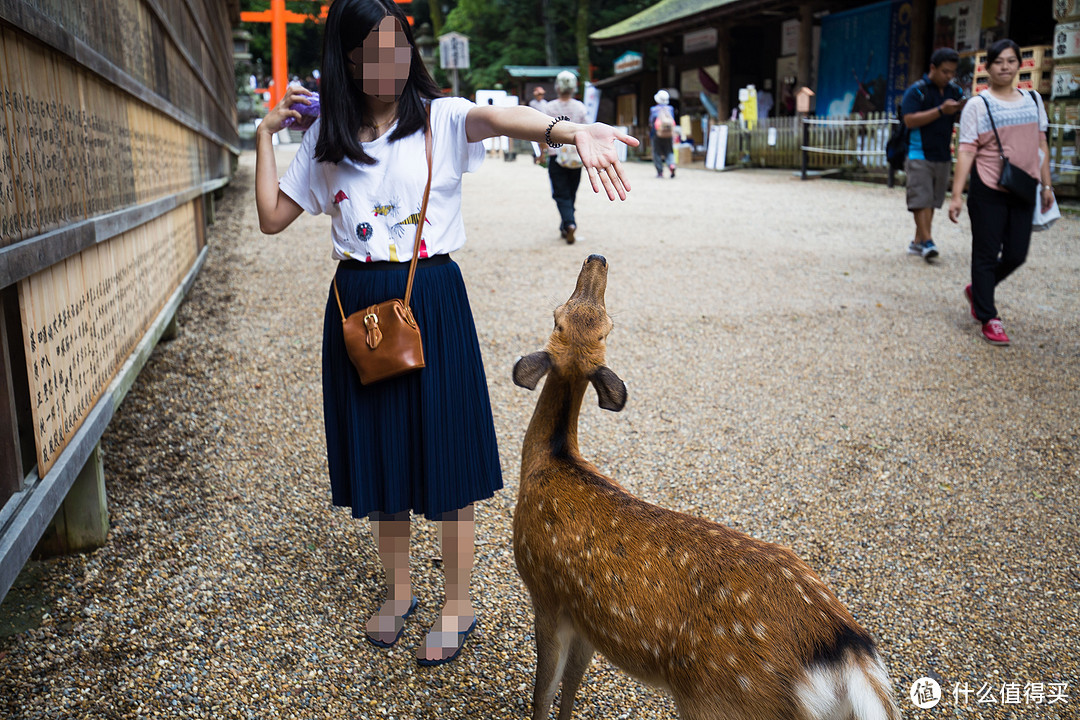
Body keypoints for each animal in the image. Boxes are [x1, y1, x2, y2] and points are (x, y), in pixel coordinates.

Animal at [509, 255, 898, 720]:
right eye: (572, 317)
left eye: (601, 325)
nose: (596, 259)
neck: (550, 462)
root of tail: (846, 651)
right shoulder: (587, 618)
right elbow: (571, 685)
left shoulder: (545, 593)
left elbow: (544, 690)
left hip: (717, 698)